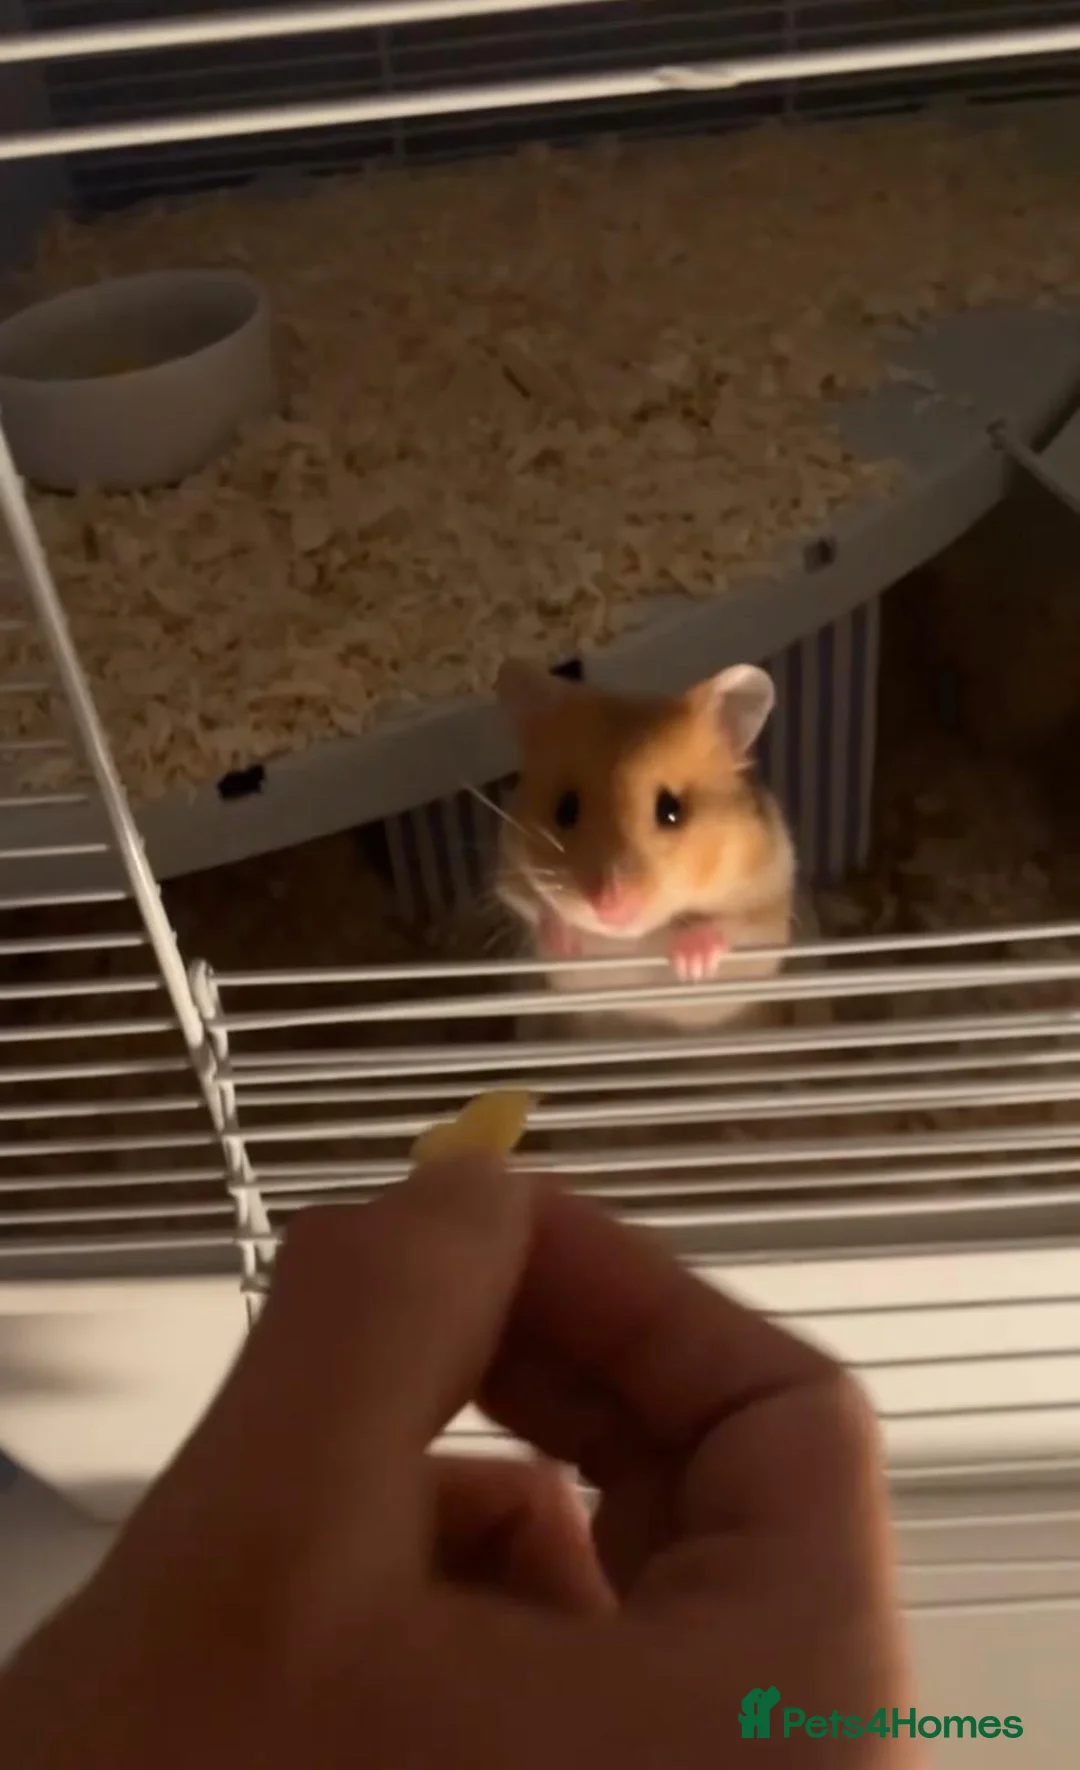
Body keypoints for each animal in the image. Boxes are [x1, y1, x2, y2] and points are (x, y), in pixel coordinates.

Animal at [493, 659, 798, 1037]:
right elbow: (534, 907)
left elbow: (732, 923)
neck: (631, 939)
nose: (609, 907)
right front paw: (565, 943)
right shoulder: (508, 874)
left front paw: (691, 965)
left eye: (671, 810)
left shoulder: (769, 897)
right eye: (564, 810)